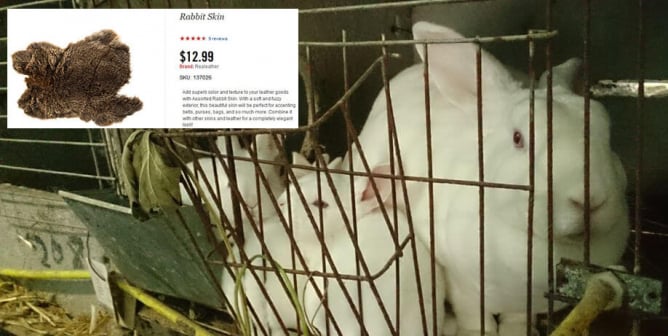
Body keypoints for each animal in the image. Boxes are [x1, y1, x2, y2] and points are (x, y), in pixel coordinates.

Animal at [348, 22, 628, 334]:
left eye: (608, 133)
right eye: (518, 138)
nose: (589, 199)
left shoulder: (525, 303)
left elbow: (517, 316)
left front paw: (515, 331)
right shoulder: (460, 281)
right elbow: (473, 313)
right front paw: (477, 331)